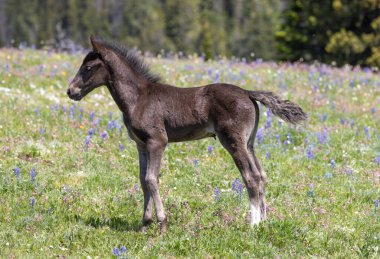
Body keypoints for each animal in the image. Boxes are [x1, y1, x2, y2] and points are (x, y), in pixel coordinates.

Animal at [67, 36, 306, 234]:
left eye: (88, 67)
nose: (71, 91)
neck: (138, 98)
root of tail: (248, 93)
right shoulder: (141, 144)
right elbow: (143, 180)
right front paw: (144, 224)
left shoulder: (157, 141)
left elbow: (151, 179)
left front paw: (162, 224)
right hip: (249, 142)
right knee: (262, 174)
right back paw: (265, 222)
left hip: (233, 140)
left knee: (251, 176)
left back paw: (253, 225)